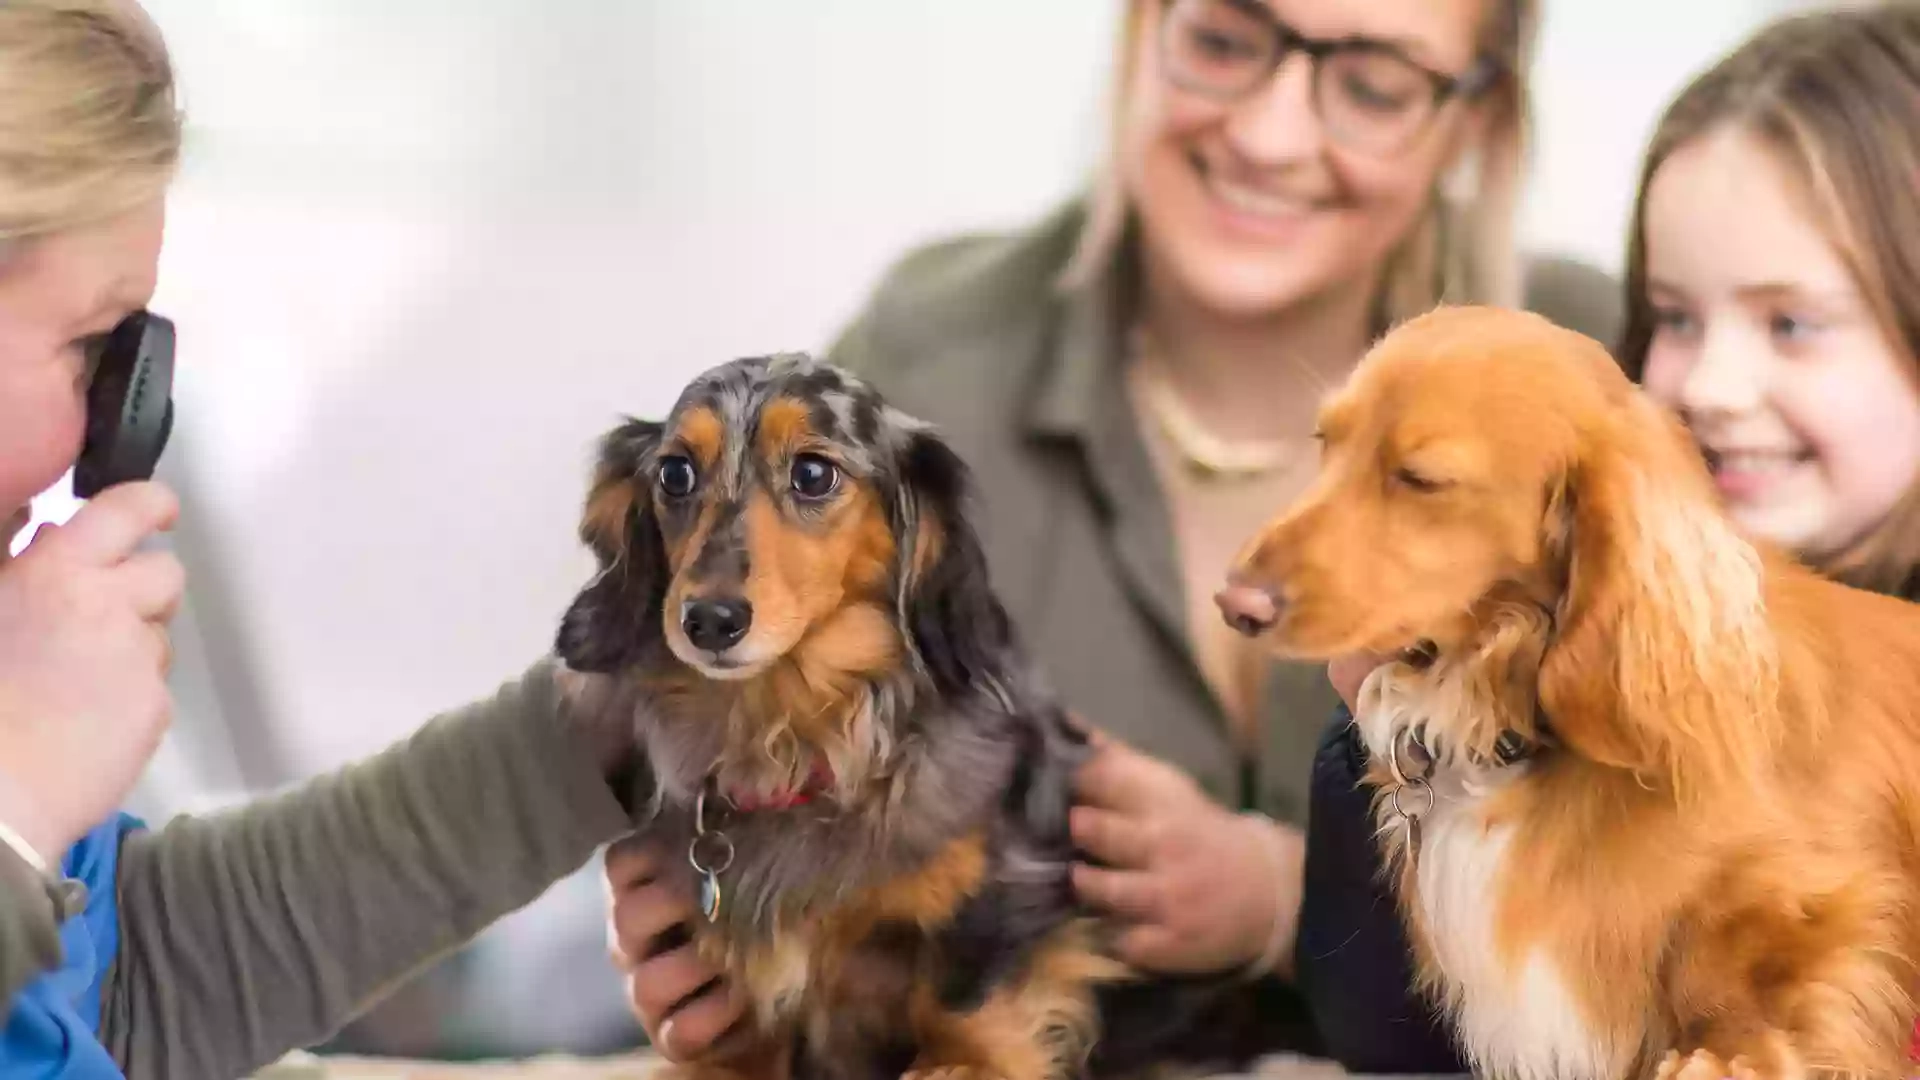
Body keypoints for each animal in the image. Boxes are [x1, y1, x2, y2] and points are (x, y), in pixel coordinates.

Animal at [556, 353, 1121, 1076]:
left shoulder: (1004, 894)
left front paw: (962, 1059)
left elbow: (965, 996)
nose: (709, 621)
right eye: (675, 473)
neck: (790, 737)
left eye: (813, 473)